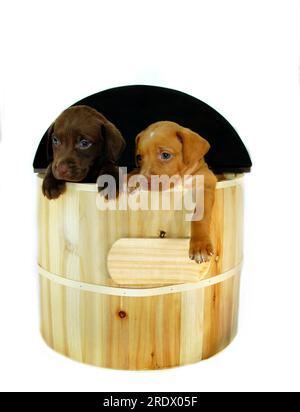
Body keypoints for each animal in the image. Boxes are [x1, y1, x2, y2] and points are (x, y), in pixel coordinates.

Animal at [134, 121, 216, 264]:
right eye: (139, 158)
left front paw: (200, 245)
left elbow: (200, 217)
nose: (143, 181)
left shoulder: (206, 185)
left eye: (165, 155)